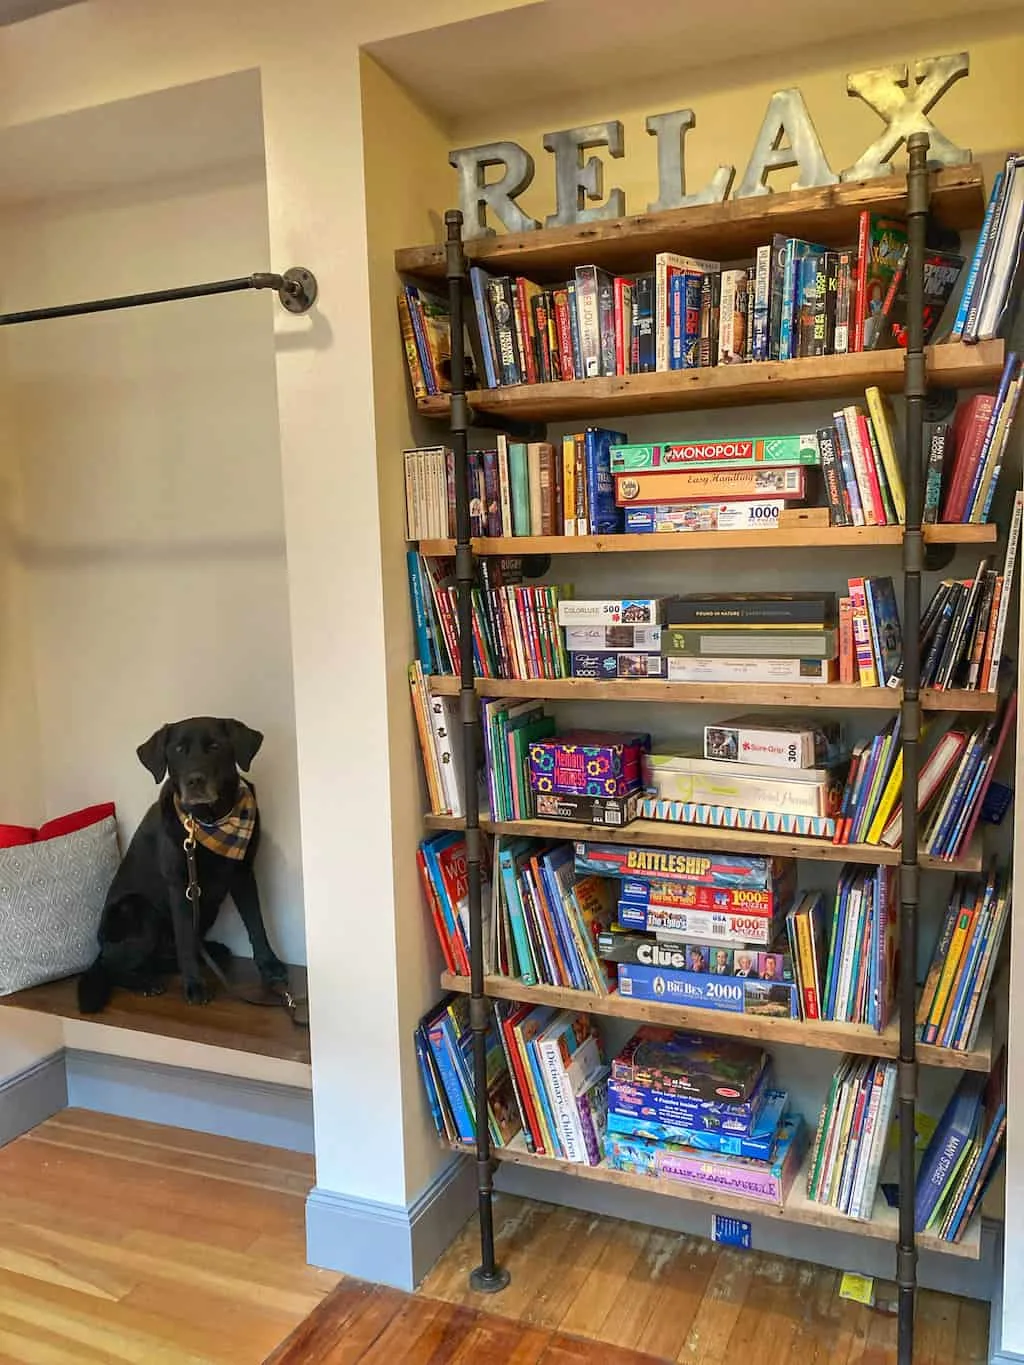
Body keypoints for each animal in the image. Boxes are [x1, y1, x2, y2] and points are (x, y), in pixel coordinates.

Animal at [77, 720, 286, 1010]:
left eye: (215, 746)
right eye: (178, 750)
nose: (194, 781)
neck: (207, 821)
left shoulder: (243, 873)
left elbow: (256, 924)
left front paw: (270, 966)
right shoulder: (180, 886)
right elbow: (186, 939)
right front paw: (194, 985)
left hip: (206, 909)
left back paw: (209, 953)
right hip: (139, 910)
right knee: (112, 966)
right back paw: (145, 982)